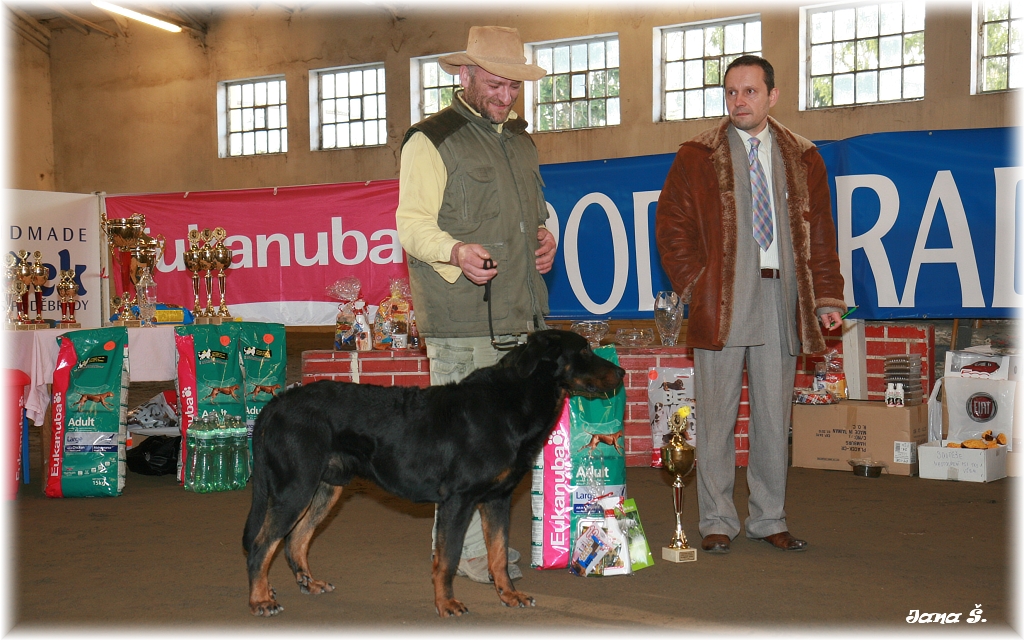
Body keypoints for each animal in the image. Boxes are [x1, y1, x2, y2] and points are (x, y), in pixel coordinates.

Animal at [243, 329, 622, 614]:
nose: (621, 374)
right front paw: (447, 603)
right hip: (296, 486)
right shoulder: (458, 500)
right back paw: (260, 599)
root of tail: (276, 403)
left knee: (295, 539)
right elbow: (448, 558)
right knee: (262, 544)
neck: (510, 403)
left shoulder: (497, 499)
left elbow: (498, 554)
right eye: (584, 351)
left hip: (325, 486)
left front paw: (508, 594)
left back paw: (309, 584)